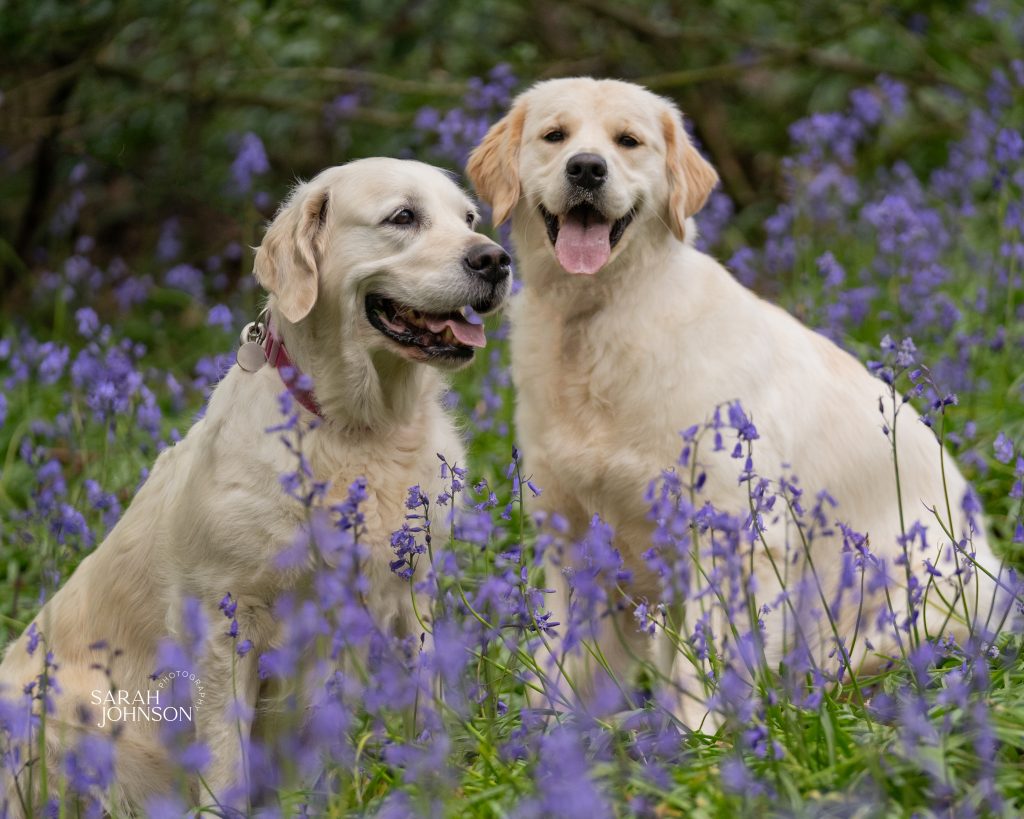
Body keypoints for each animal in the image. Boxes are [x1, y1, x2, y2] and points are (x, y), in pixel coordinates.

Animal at [0, 156, 512, 810]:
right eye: (403, 216)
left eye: (469, 218)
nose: (496, 260)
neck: (360, 429)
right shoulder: (226, 624)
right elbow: (226, 762)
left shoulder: (413, 590)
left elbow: (427, 703)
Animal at [468, 78, 1003, 724]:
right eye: (555, 136)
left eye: (628, 141)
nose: (587, 168)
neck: (596, 321)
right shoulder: (572, 538)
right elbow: (561, 666)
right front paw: (547, 738)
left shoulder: (733, 532)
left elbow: (701, 665)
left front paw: (696, 737)